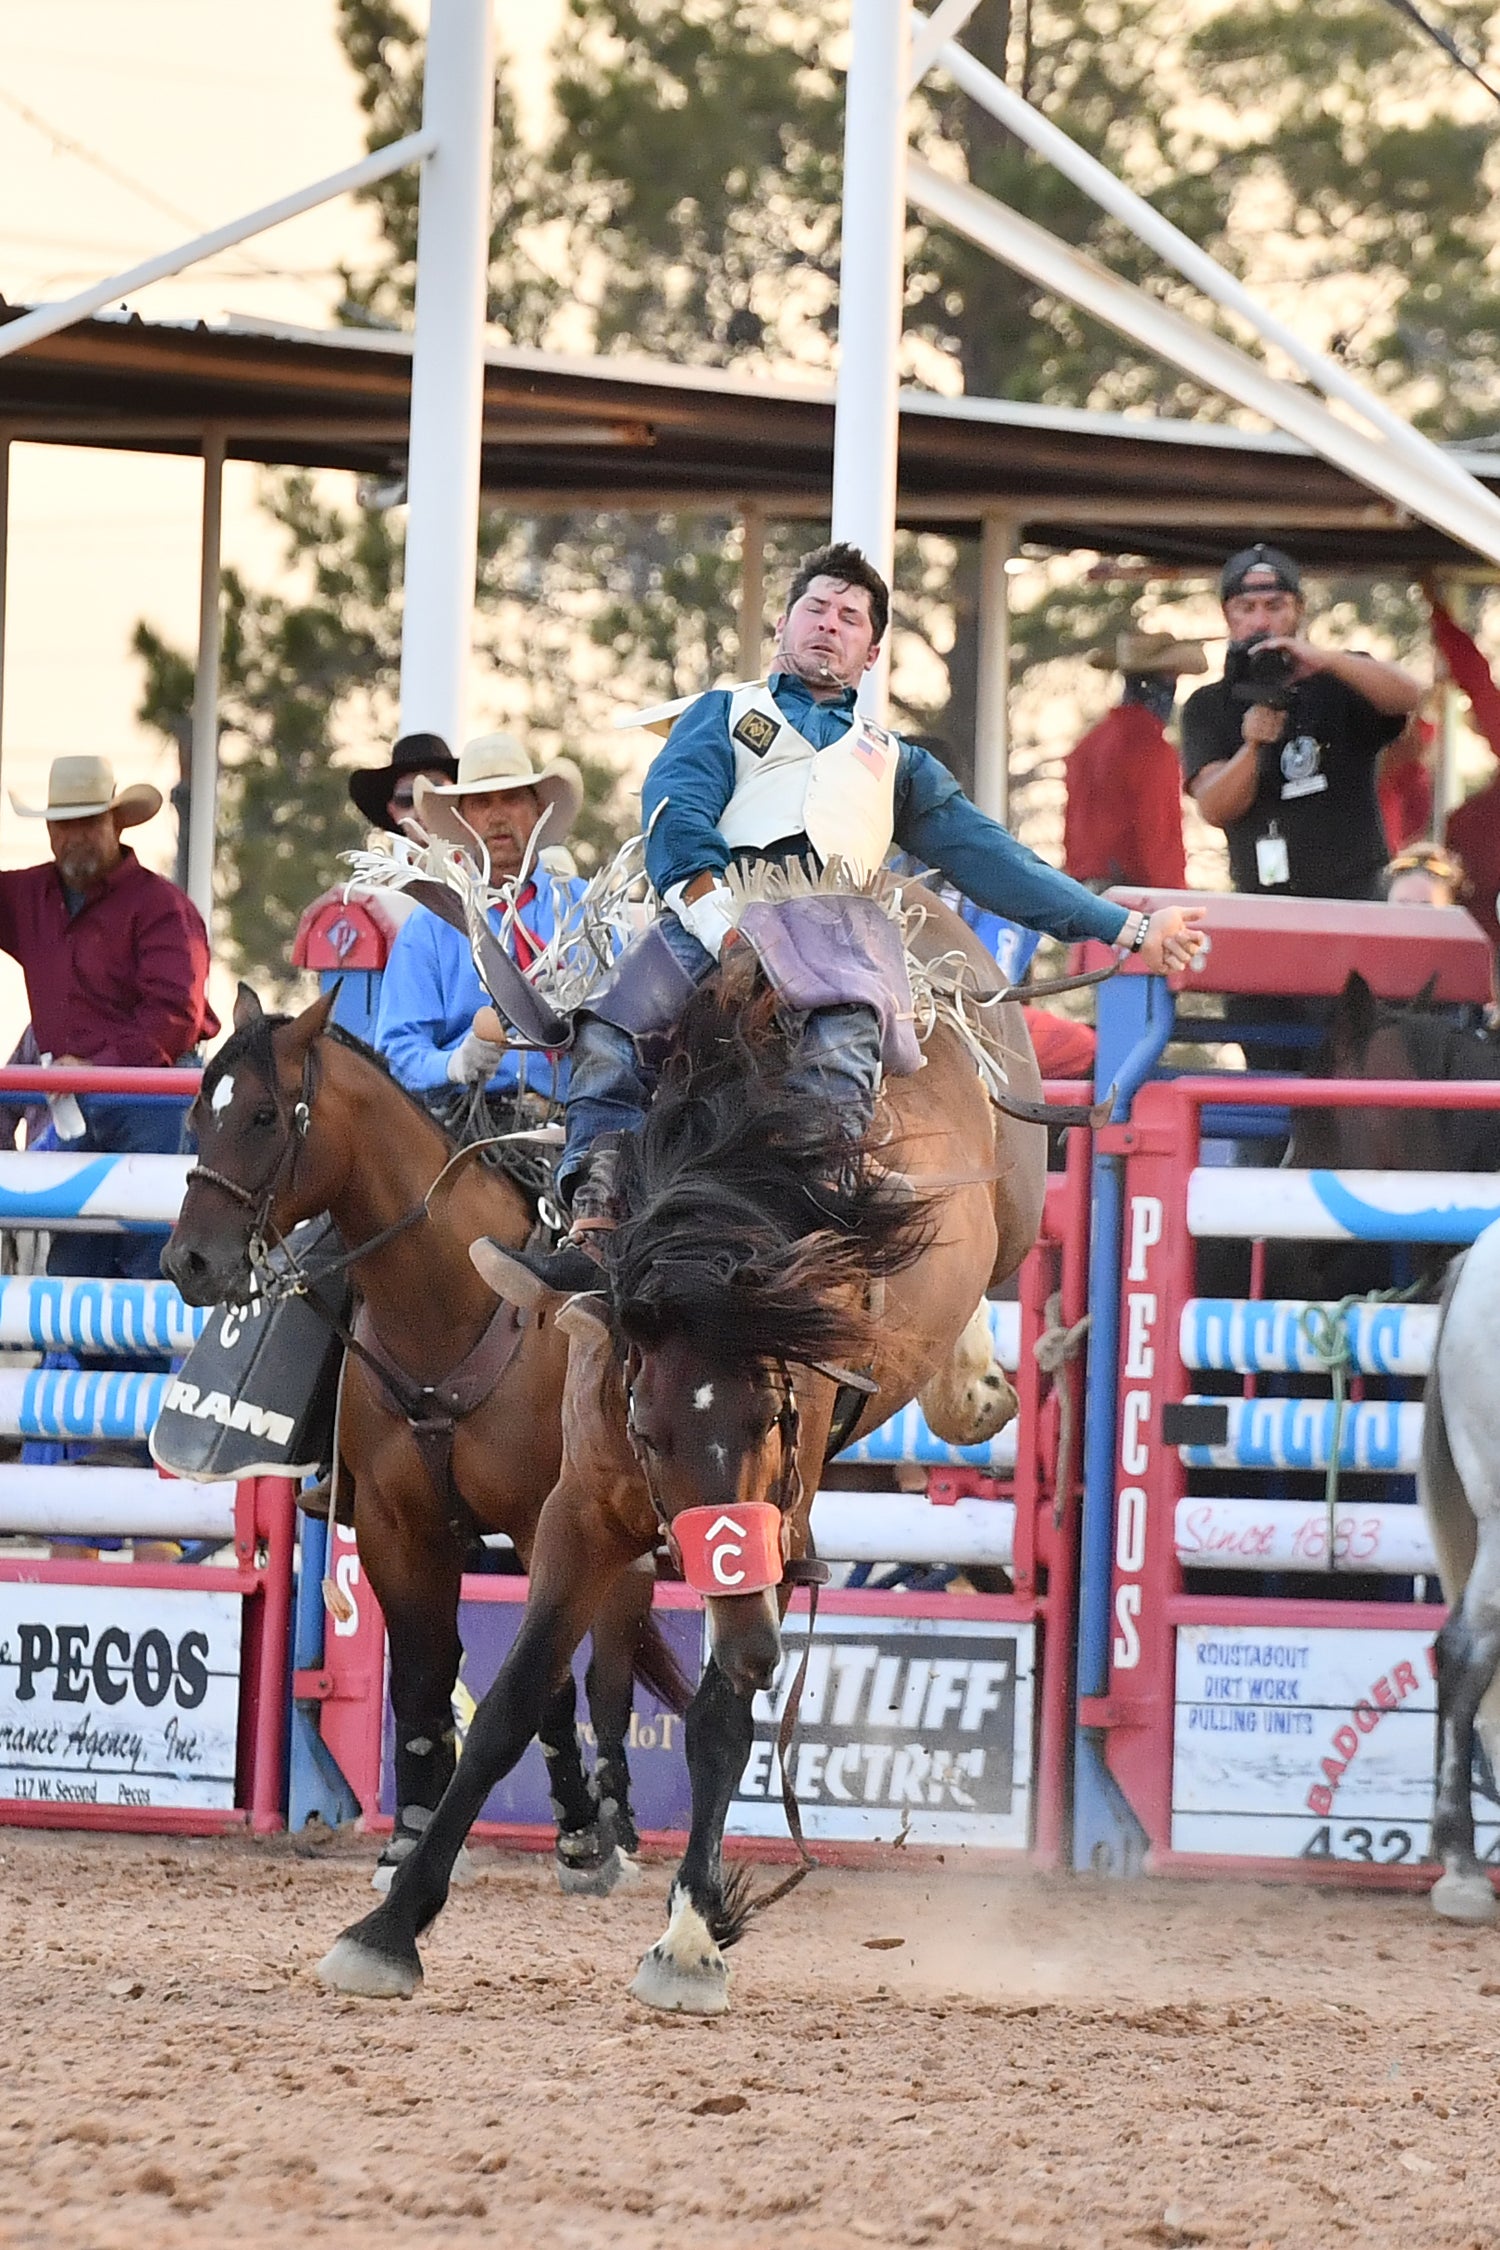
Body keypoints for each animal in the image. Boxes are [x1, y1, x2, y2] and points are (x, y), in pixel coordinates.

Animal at [158, 994, 688, 1890]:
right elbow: (419, 1674)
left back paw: (616, 1821)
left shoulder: (543, 1524)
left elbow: (549, 1684)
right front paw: (410, 1832)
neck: (452, 1299)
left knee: (610, 1670)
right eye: (197, 1115)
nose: (188, 1261)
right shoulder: (394, 1529)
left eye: (265, 1116)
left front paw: (582, 1836)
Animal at [317, 895, 1043, 2007]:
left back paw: (972, 1384)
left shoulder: (777, 1512)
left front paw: (693, 1933)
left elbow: (724, 1704)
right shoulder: (575, 1513)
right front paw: (391, 1925)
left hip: (1018, 1207)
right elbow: (514, 1702)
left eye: (772, 1418)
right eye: (646, 1426)